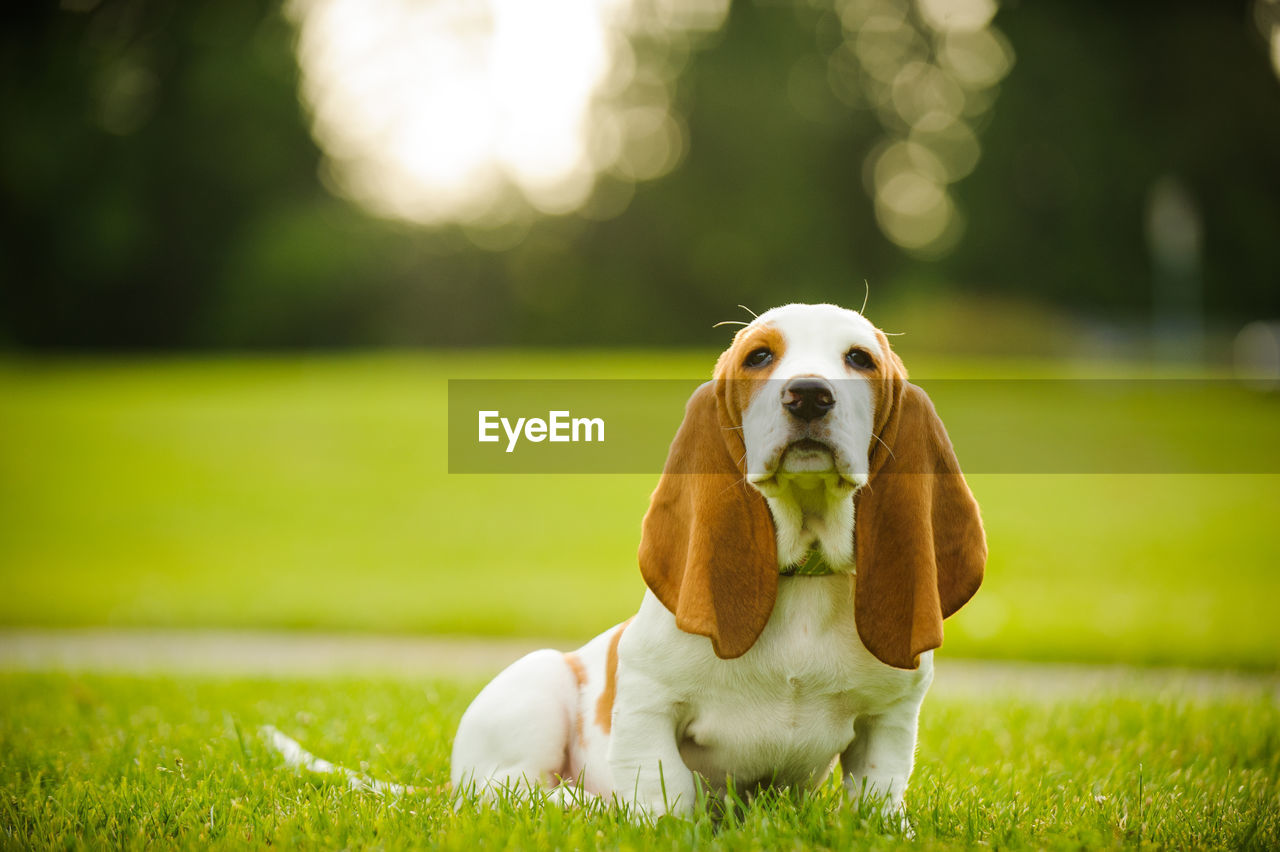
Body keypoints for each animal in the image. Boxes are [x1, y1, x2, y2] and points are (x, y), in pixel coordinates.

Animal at [450, 301, 988, 818]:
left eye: (859, 358)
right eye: (759, 356)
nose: (808, 395)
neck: (802, 576)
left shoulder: (891, 716)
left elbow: (877, 795)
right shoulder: (648, 700)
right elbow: (664, 790)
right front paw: (653, 823)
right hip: (538, 684)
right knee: (508, 790)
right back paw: (584, 804)